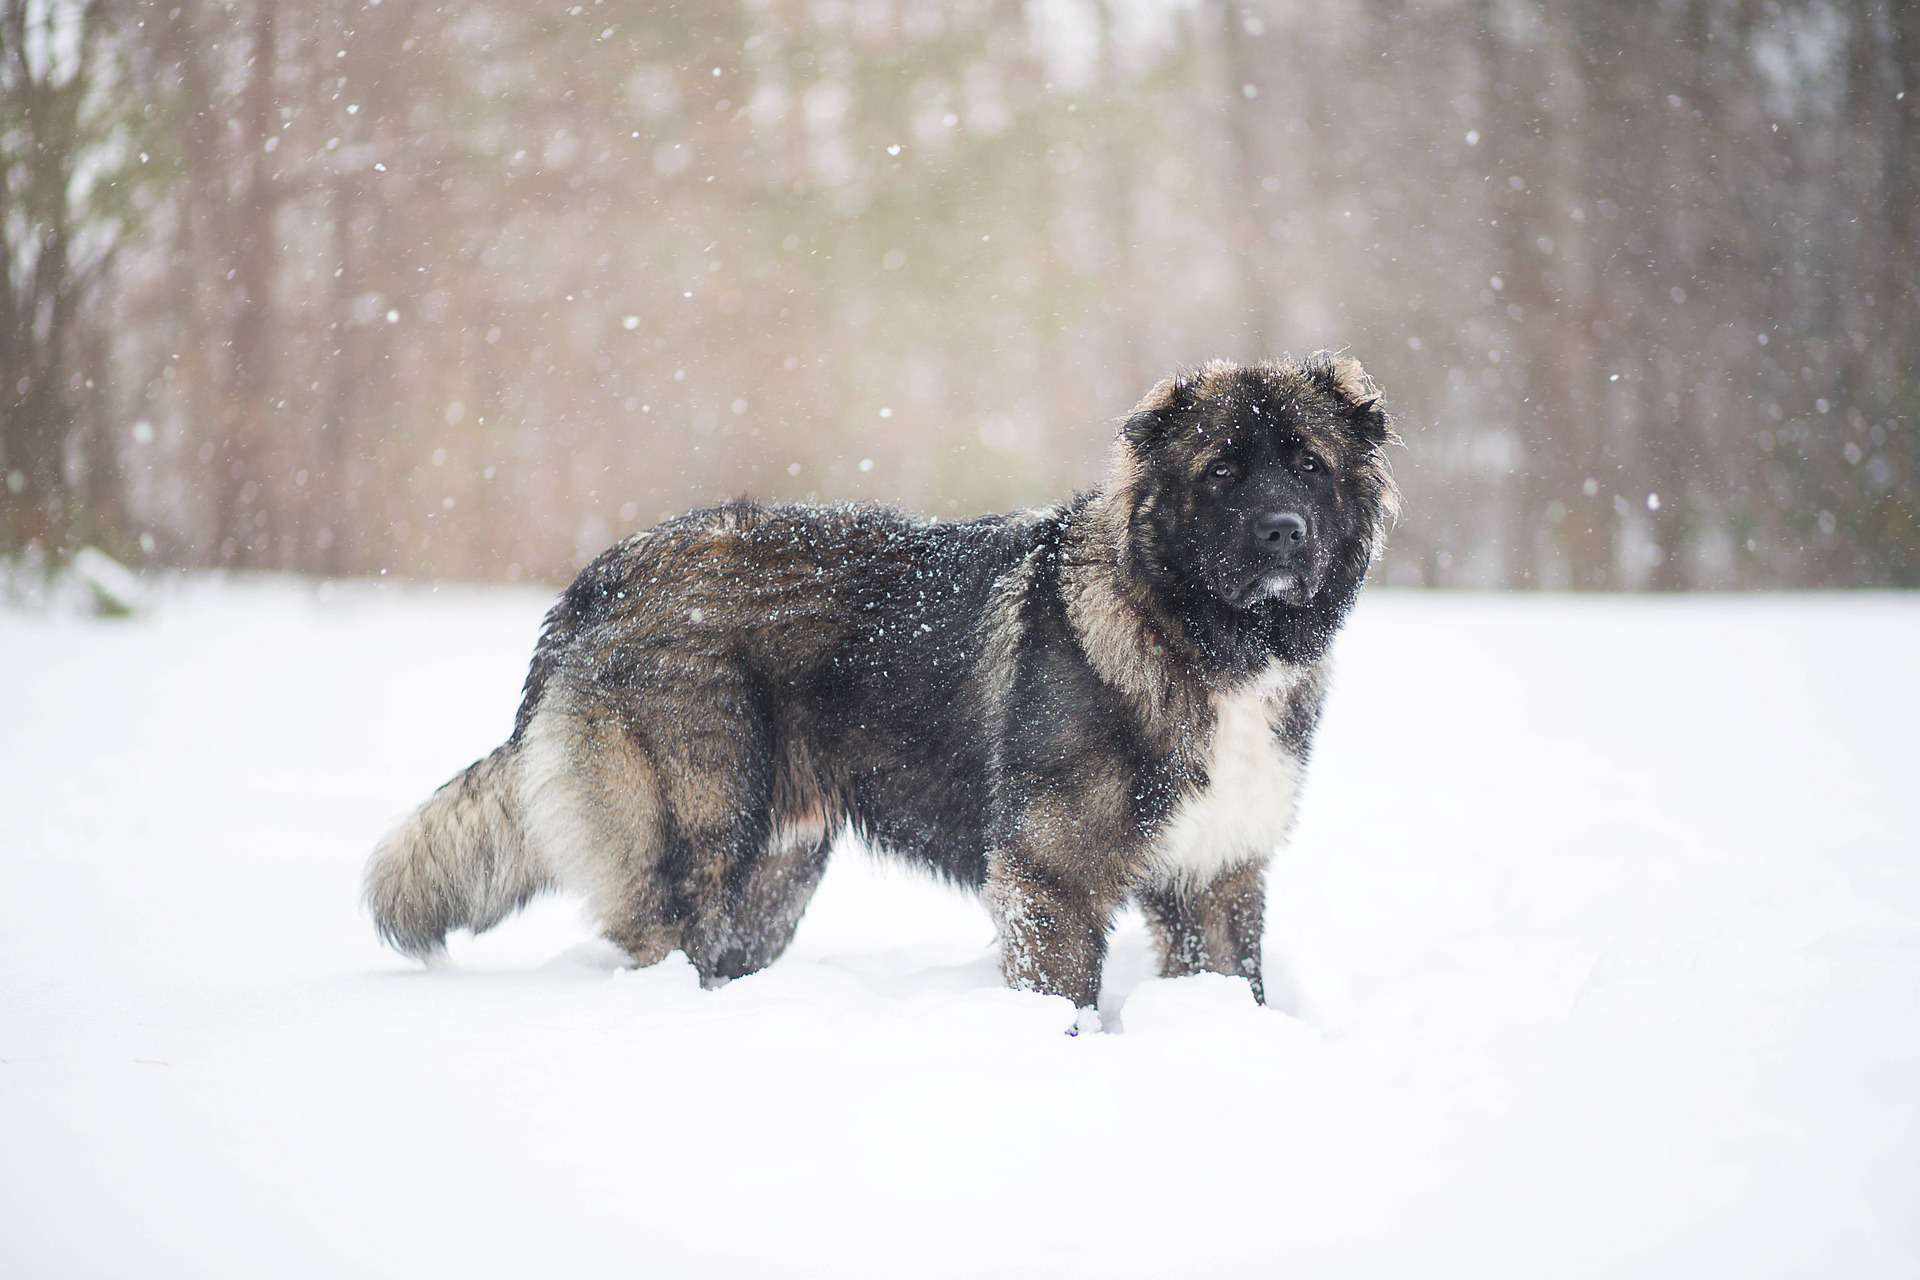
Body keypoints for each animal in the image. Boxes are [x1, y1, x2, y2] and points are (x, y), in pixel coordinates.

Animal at [366, 353, 1405, 1013]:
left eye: (1308, 464)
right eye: (1221, 469)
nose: (1283, 533)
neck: (1197, 635)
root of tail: (599, 579)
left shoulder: (1218, 876)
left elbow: (1238, 985)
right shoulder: (1051, 879)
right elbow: (1063, 997)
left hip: (776, 876)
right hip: (695, 843)